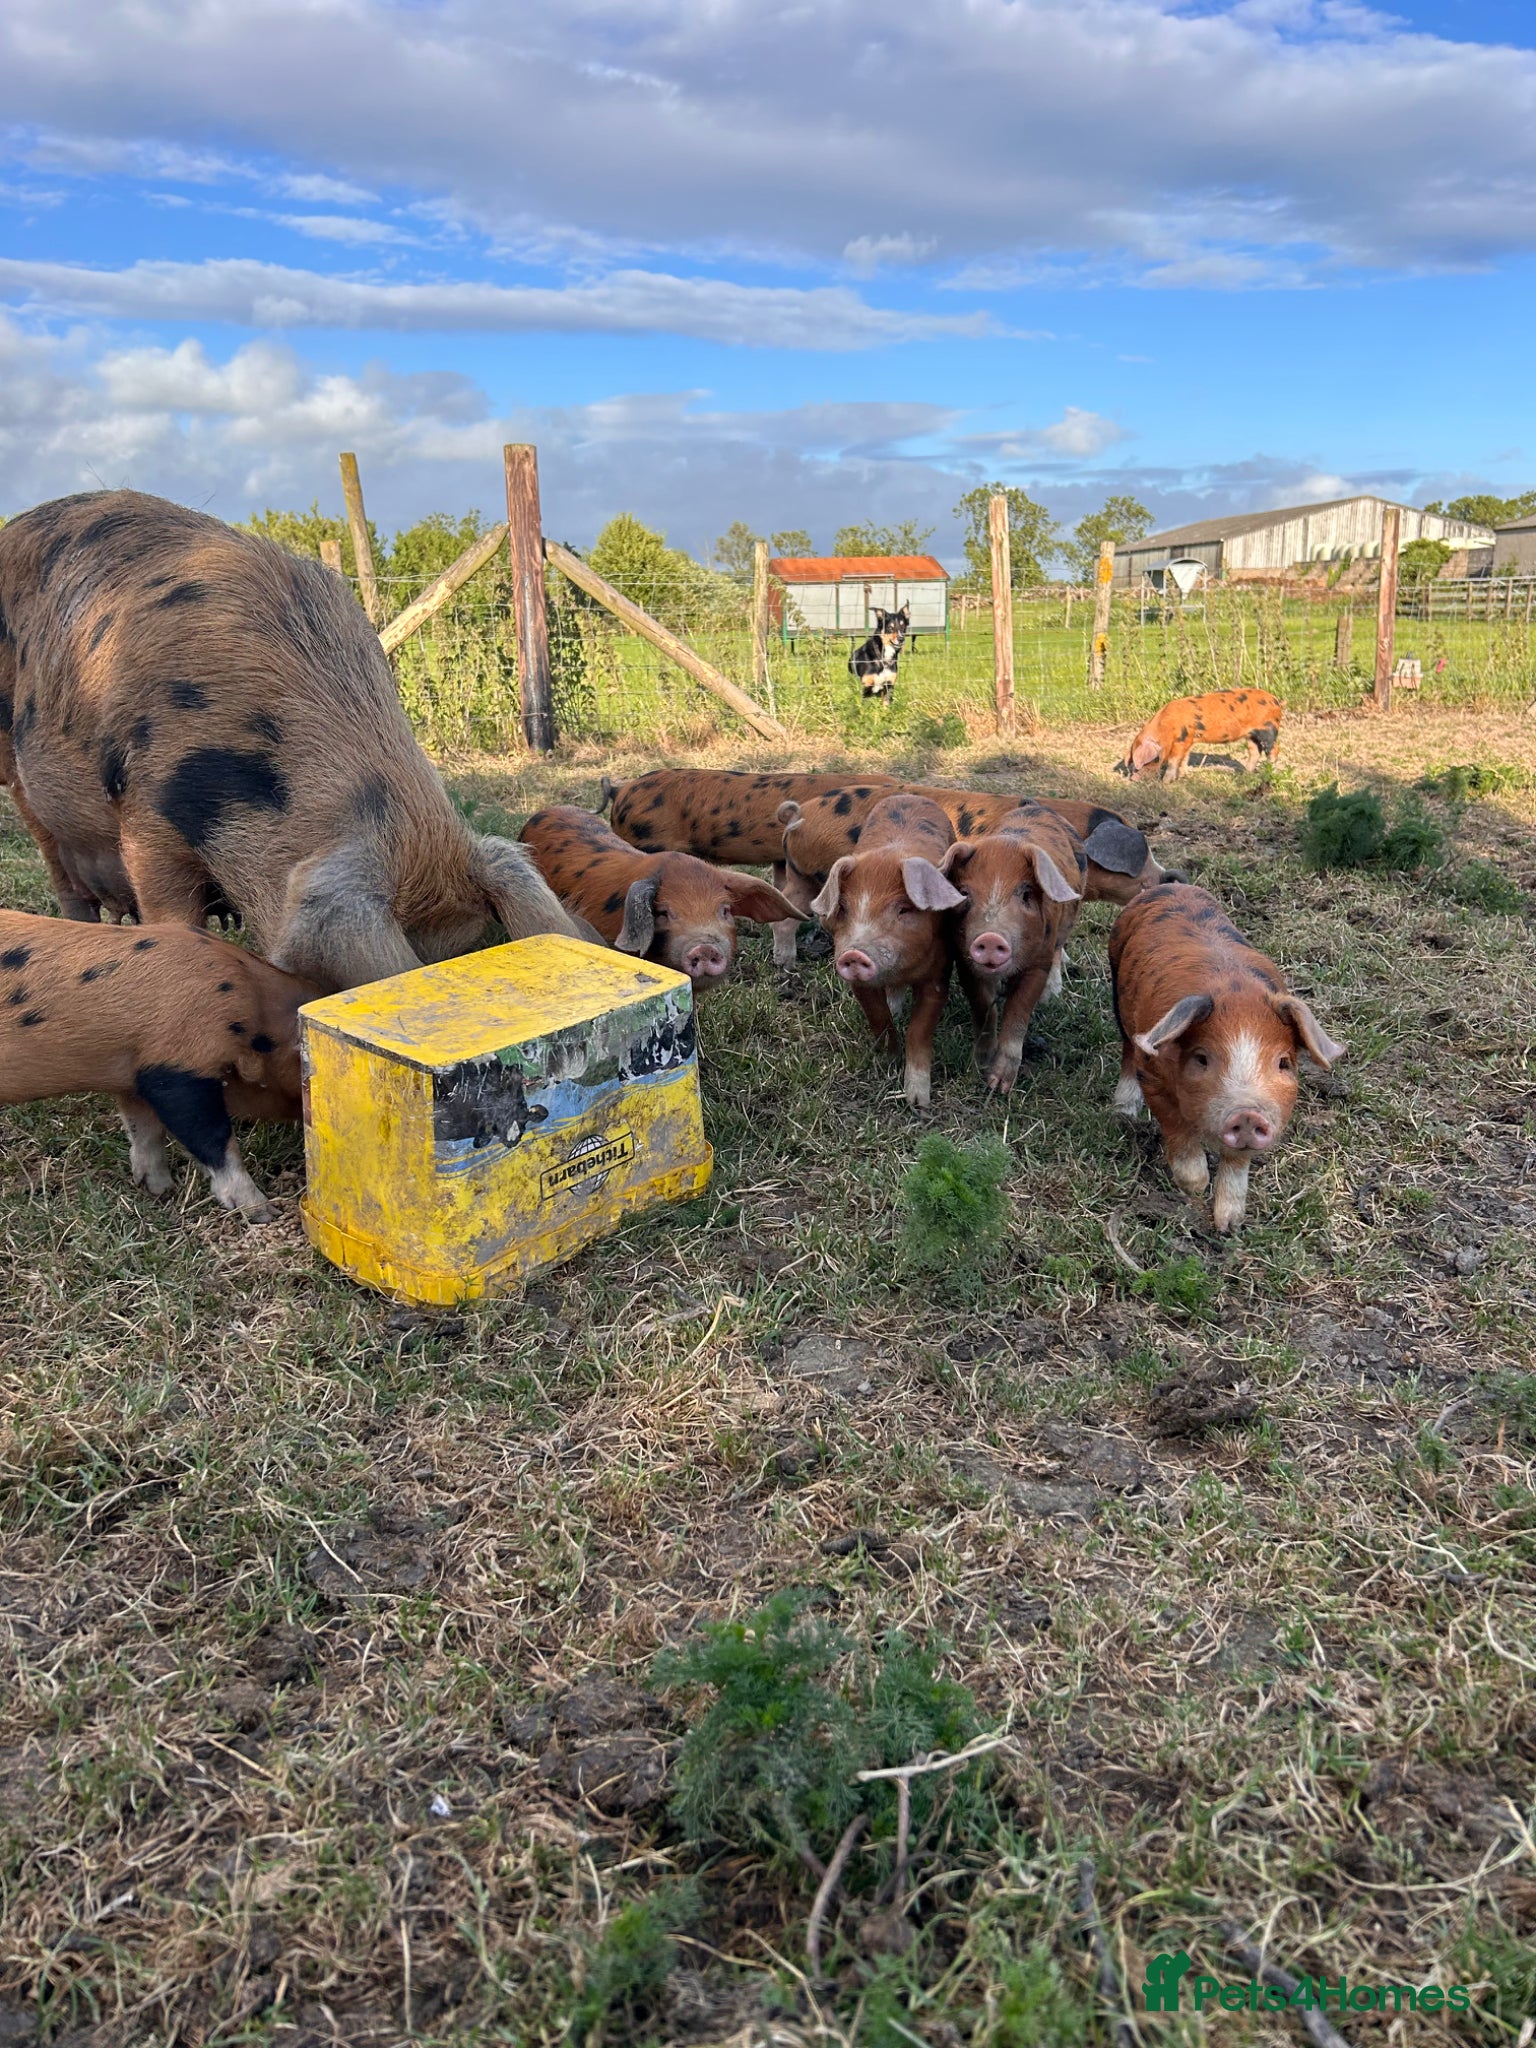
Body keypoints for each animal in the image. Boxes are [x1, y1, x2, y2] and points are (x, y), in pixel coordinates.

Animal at [0, 908, 321, 1220]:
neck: (254, 1004)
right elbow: (213, 1138)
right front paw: (262, 1212)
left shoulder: (133, 1075)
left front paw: (159, 1190)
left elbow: (144, 1130)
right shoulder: (177, 1066)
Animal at [808, 793, 966, 1107]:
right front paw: (887, 1061)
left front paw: (917, 1102)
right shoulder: (859, 984)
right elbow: (878, 1016)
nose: (855, 954)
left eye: (904, 909)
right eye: (843, 908)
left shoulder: (939, 974)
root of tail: (911, 795)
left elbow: (919, 1029)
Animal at [941, 805, 1085, 1093]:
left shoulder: (1038, 963)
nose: (991, 937)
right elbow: (983, 1007)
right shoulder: (964, 961)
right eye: (964, 892)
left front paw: (999, 1086)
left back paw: (1052, 994)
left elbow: (1018, 1013)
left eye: (1026, 894)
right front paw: (980, 1066)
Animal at [1108, 883, 1345, 1232]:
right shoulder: (1151, 1075)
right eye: (1202, 1058)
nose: (1247, 1114)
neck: (1235, 990)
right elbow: (1177, 1128)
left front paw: (1229, 1225)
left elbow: (1237, 1163)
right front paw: (1194, 1187)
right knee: (1126, 1045)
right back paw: (1123, 1111)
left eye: (1283, 1063)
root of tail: (1171, 884)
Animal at [1116, 689, 1284, 783]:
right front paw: (1182, 777)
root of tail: (1276, 701)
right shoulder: (1188, 740)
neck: (1166, 728)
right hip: (1251, 735)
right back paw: (1244, 774)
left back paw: (1269, 773)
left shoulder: (1182, 739)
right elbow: (1184, 759)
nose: (1134, 779)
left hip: (1267, 730)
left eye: (1154, 759)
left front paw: (1166, 782)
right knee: (1254, 752)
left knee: (1274, 750)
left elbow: (1174, 760)